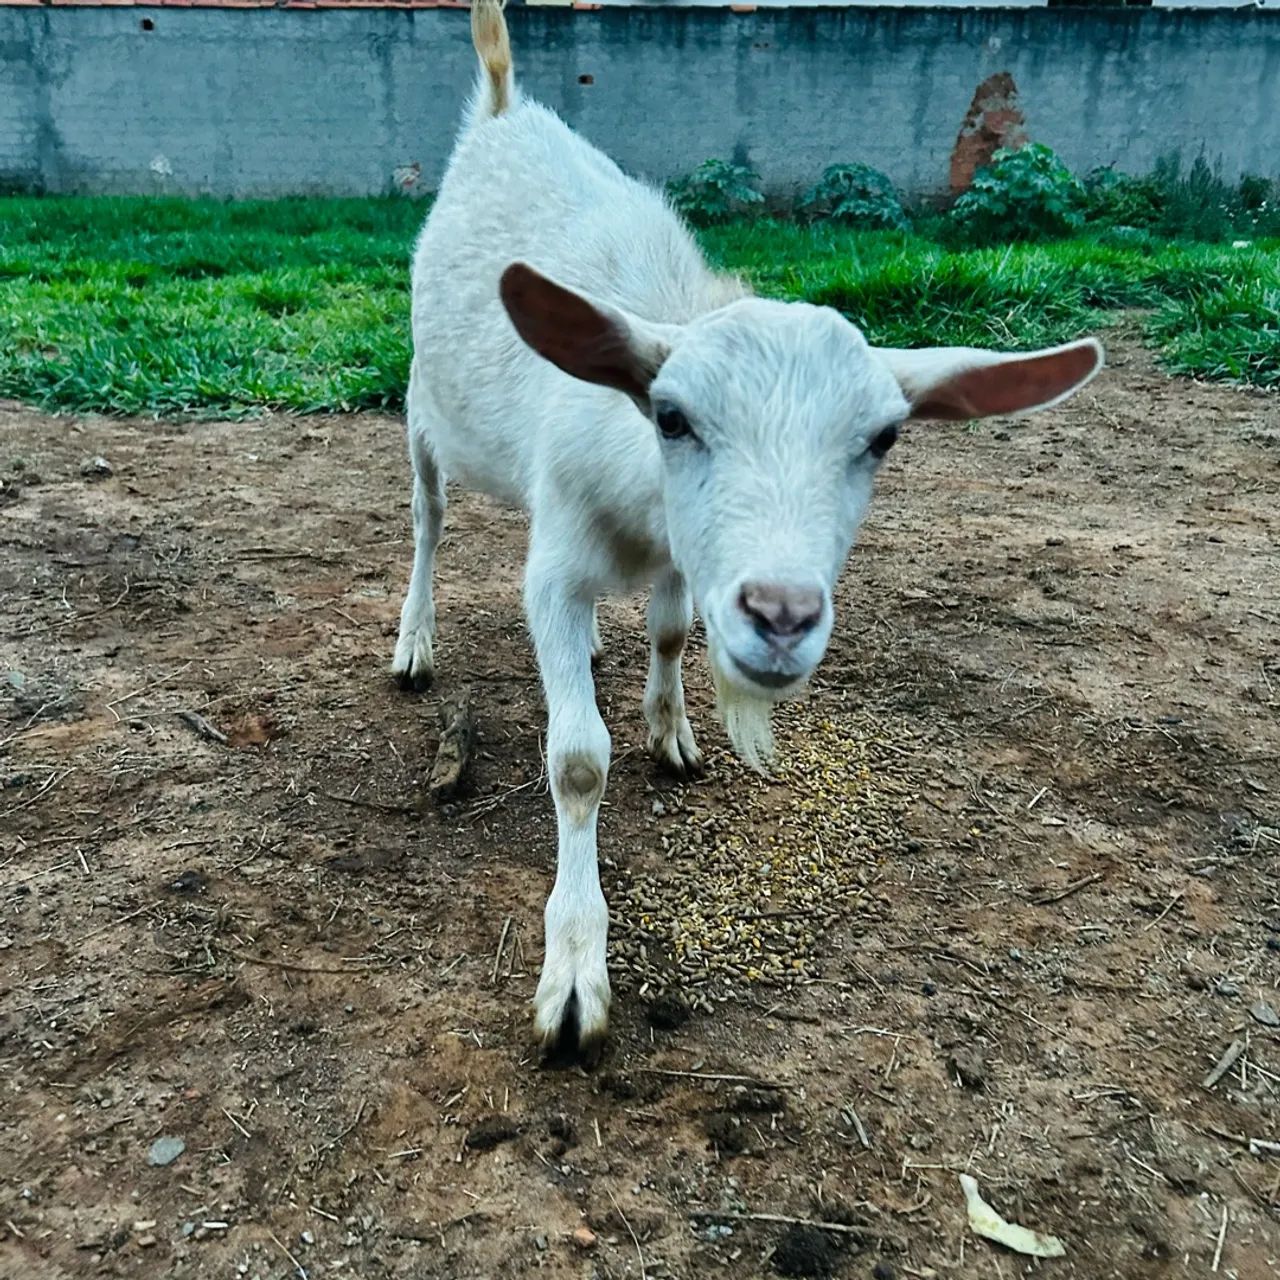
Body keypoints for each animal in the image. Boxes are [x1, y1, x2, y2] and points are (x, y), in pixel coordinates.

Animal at [393, 0, 1104, 1060]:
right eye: (672, 416)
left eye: (884, 438)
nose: (780, 615)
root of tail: (504, 109)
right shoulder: (554, 567)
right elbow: (576, 759)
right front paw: (575, 971)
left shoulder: (684, 559)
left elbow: (669, 631)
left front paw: (673, 728)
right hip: (421, 412)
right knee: (429, 519)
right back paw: (414, 640)